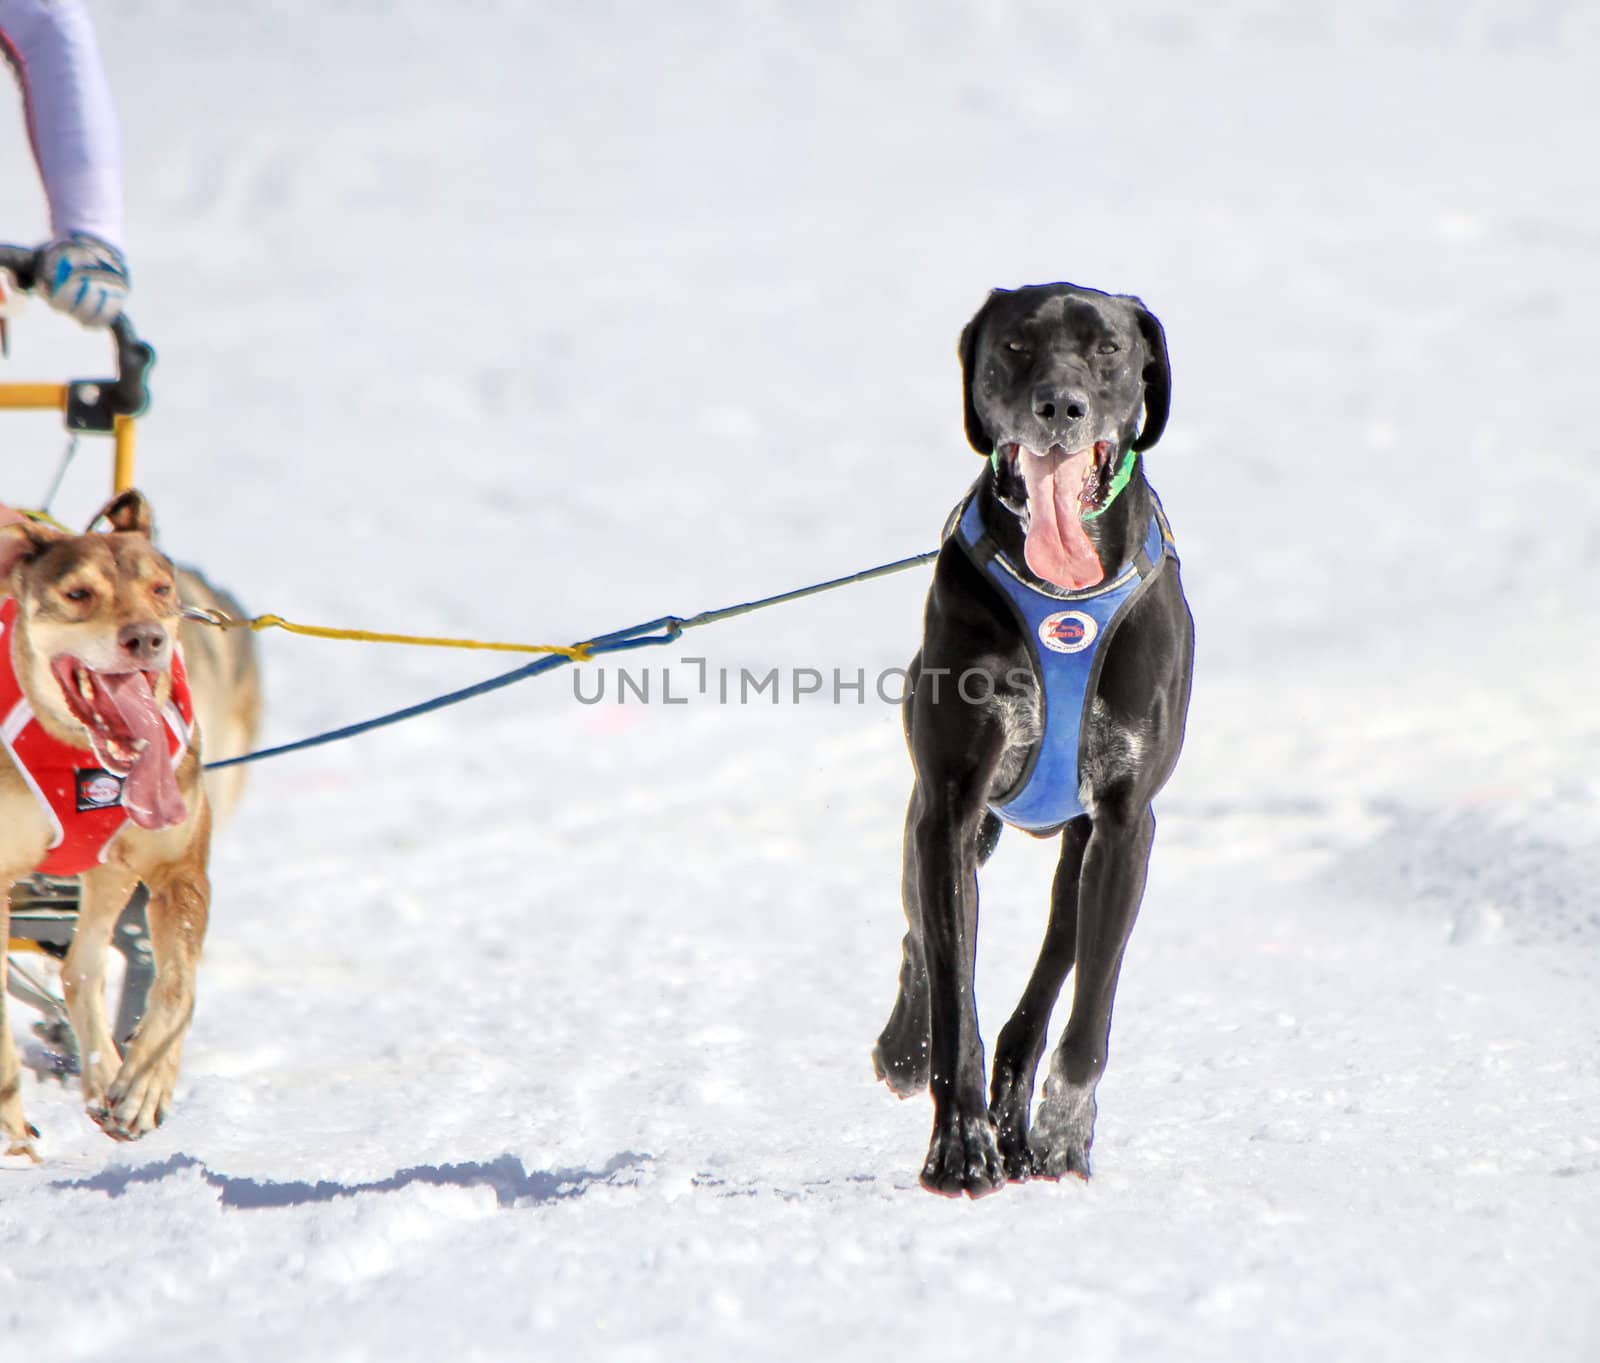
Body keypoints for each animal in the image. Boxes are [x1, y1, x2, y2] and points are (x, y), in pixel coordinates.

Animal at [0, 495, 252, 1158]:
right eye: (78, 593)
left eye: (160, 588)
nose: (146, 637)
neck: (79, 757)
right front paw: (13, 1132)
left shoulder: (176, 871)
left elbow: (178, 987)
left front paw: (144, 1083)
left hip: (110, 872)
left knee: (80, 968)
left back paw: (105, 1073)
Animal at [870, 284, 1196, 1190]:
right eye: (1015, 345)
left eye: (1110, 348)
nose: (1060, 404)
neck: (1063, 596)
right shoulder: (949, 806)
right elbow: (955, 994)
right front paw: (958, 1145)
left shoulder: (1123, 824)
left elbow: (1087, 1012)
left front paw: (1061, 1134)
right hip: (956, 829)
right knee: (920, 937)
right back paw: (908, 1051)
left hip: (1077, 849)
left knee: (1047, 981)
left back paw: (1021, 1123)